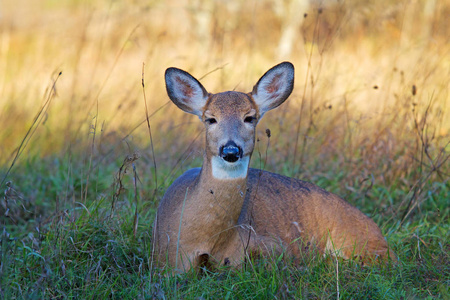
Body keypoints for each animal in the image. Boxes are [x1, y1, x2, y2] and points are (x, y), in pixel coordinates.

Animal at [154, 62, 394, 274]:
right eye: (210, 119)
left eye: (250, 118)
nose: (231, 150)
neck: (205, 239)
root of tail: (380, 236)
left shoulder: (271, 246)